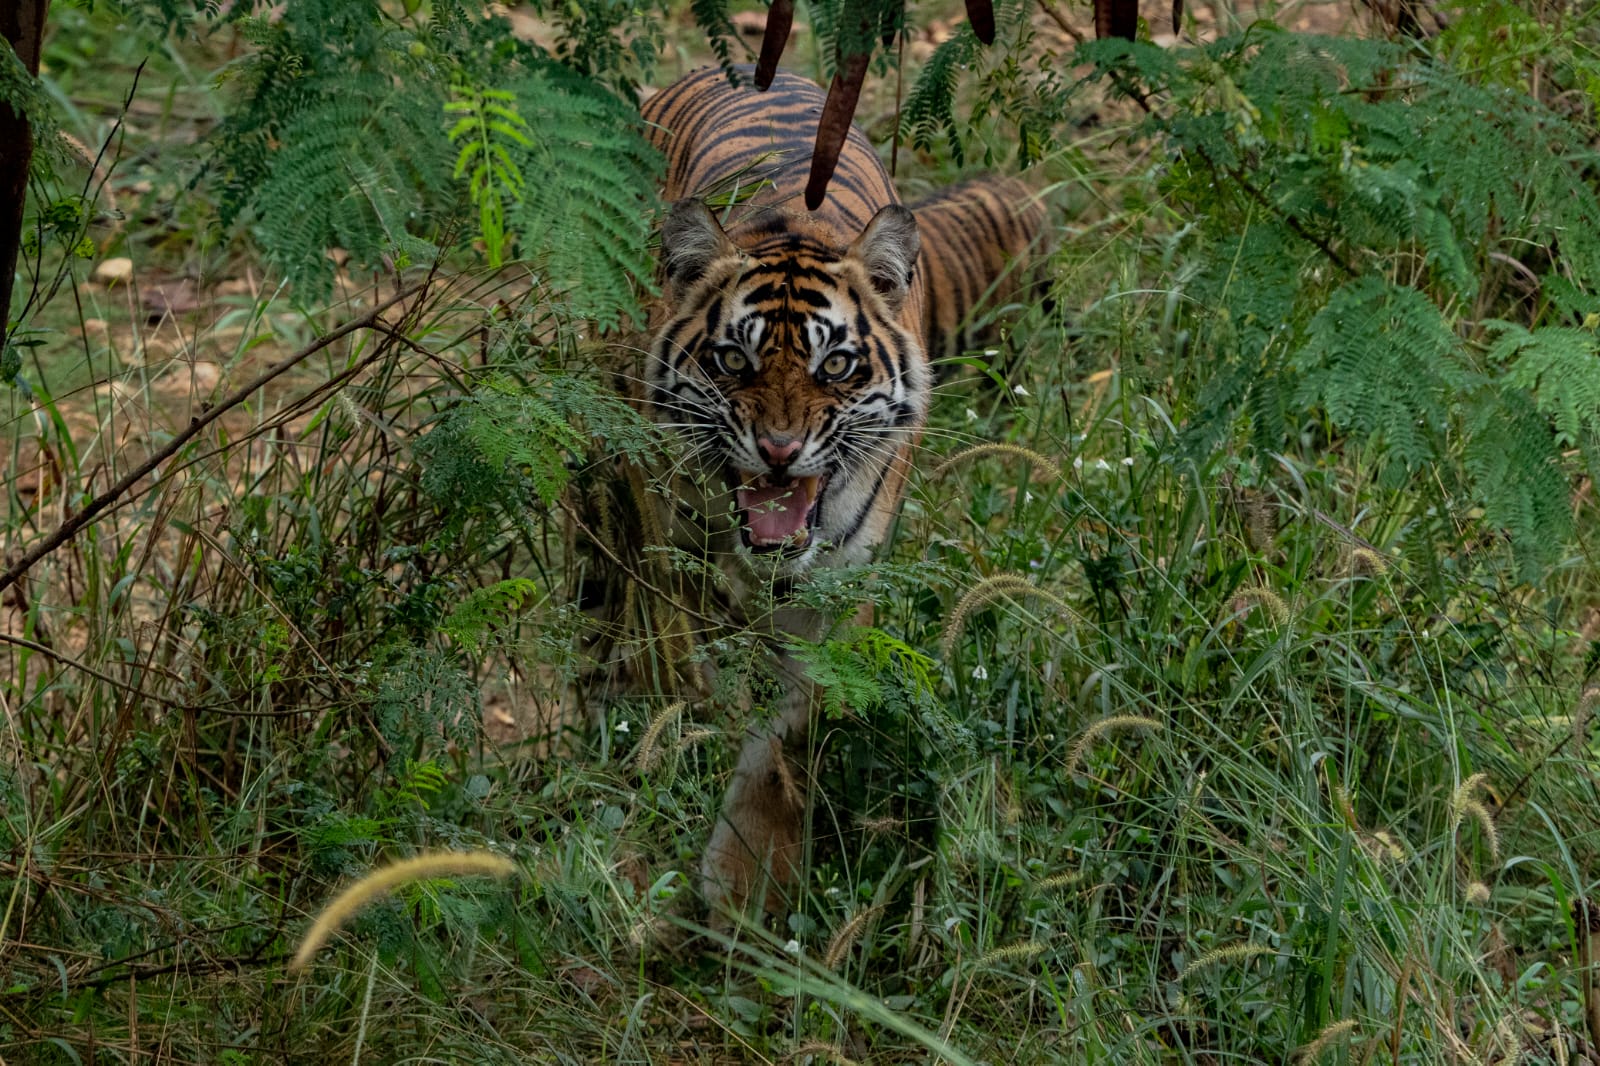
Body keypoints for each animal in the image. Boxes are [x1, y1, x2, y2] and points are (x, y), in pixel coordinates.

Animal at [622, 64, 1047, 918]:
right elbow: (701, 672)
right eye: (733, 360)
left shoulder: (838, 595)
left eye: (836, 366)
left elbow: (786, 735)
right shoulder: (680, 549)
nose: (780, 452)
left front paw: (750, 879)